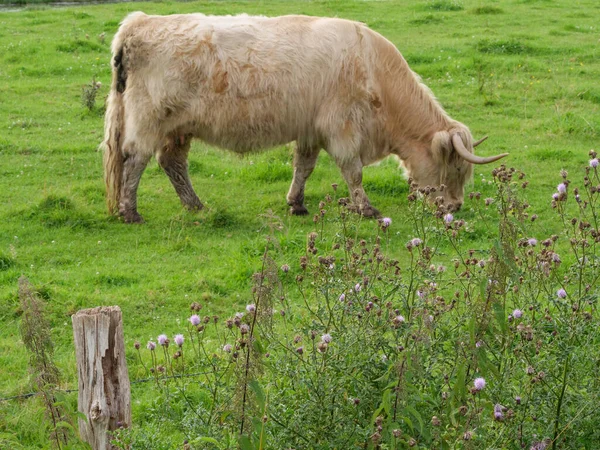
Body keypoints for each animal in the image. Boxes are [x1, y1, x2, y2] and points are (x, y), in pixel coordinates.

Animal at [101, 13, 504, 224]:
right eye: (454, 169)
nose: (455, 208)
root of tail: (140, 22)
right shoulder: (342, 128)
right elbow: (352, 171)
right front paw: (366, 208)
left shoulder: (311, 130)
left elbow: (303, 167)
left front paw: (296, 203)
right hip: (150, 120)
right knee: (135, 159)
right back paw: (130, 211)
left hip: (178, 128)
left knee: (172, 163)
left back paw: (196, 205)